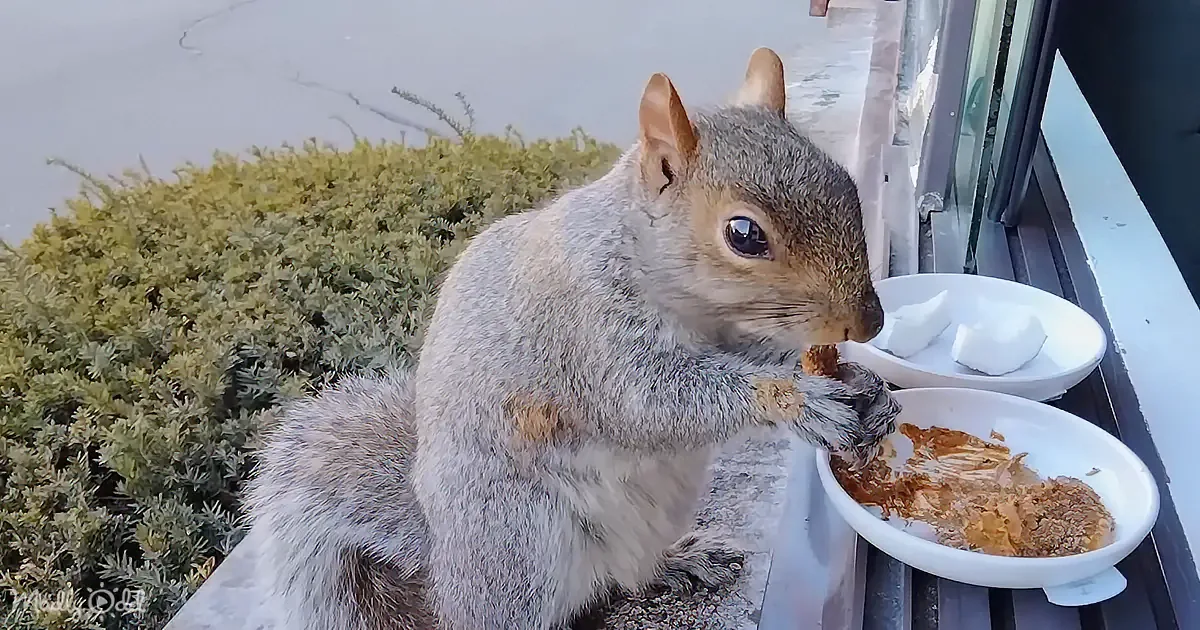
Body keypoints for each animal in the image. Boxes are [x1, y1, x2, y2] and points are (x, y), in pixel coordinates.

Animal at [245, 47, 900, 630]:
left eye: (845, 183)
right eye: (744, 235)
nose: (869, 323)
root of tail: (443, 567)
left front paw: (864, 385)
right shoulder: (585, 331)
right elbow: (652, 402)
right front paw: (801, 401)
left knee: (625, 575)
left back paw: (678, 562)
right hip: (518, 542)